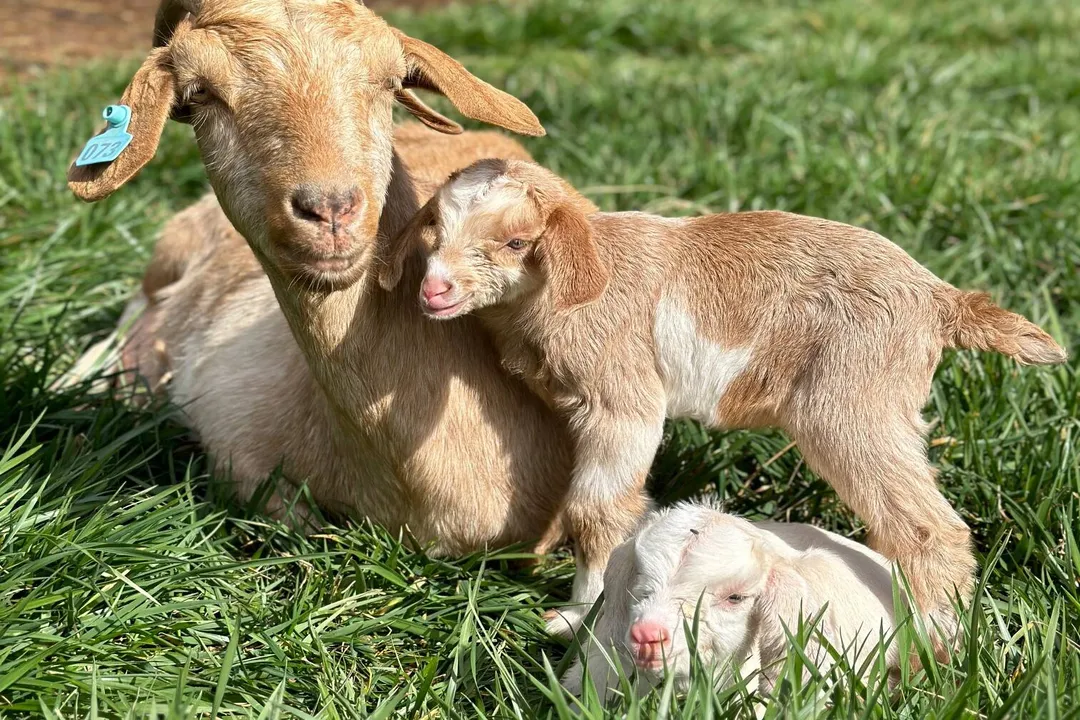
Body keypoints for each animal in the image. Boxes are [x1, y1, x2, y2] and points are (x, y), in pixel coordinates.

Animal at [382, 158, 1067, 641]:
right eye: (433, 230)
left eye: (518, 243)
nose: (434, 291)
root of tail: (939, 298)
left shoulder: (622, 400)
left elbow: (597, 508)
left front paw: (576, 616)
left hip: (853, 405)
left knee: (929, 527)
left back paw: (935, 637)